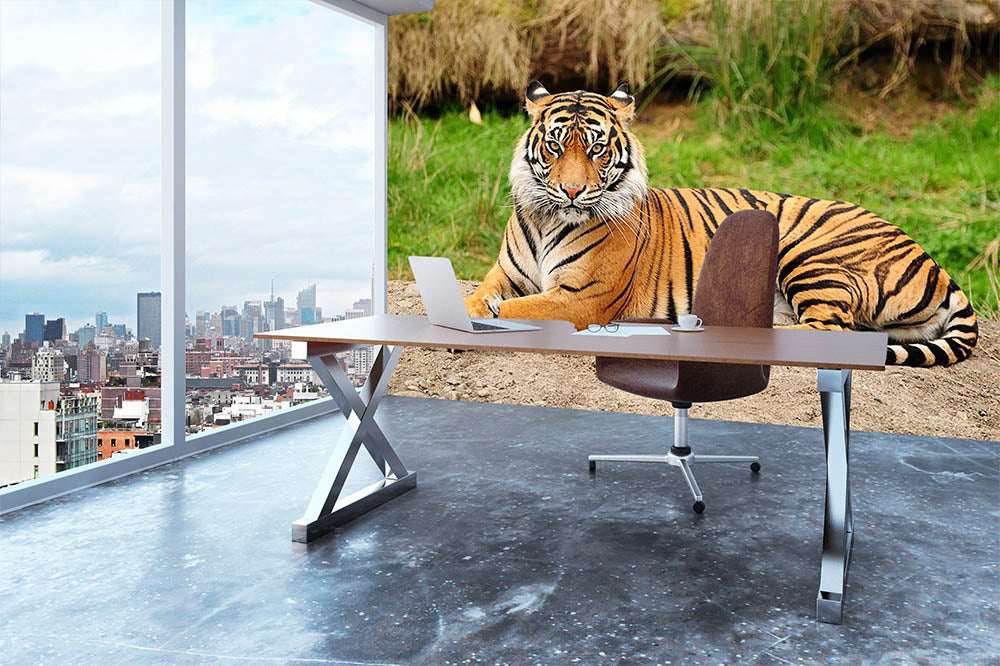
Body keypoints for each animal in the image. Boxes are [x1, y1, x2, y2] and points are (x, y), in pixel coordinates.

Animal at [463, 81, 979, 367]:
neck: (548, 217)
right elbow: (476, 298)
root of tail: (933, 262)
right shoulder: (504, 275)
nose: (571, 191)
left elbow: (510, 312)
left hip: (809, 254)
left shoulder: (582, 298)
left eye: (596, 149)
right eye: (554, 146)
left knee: (832, 332)